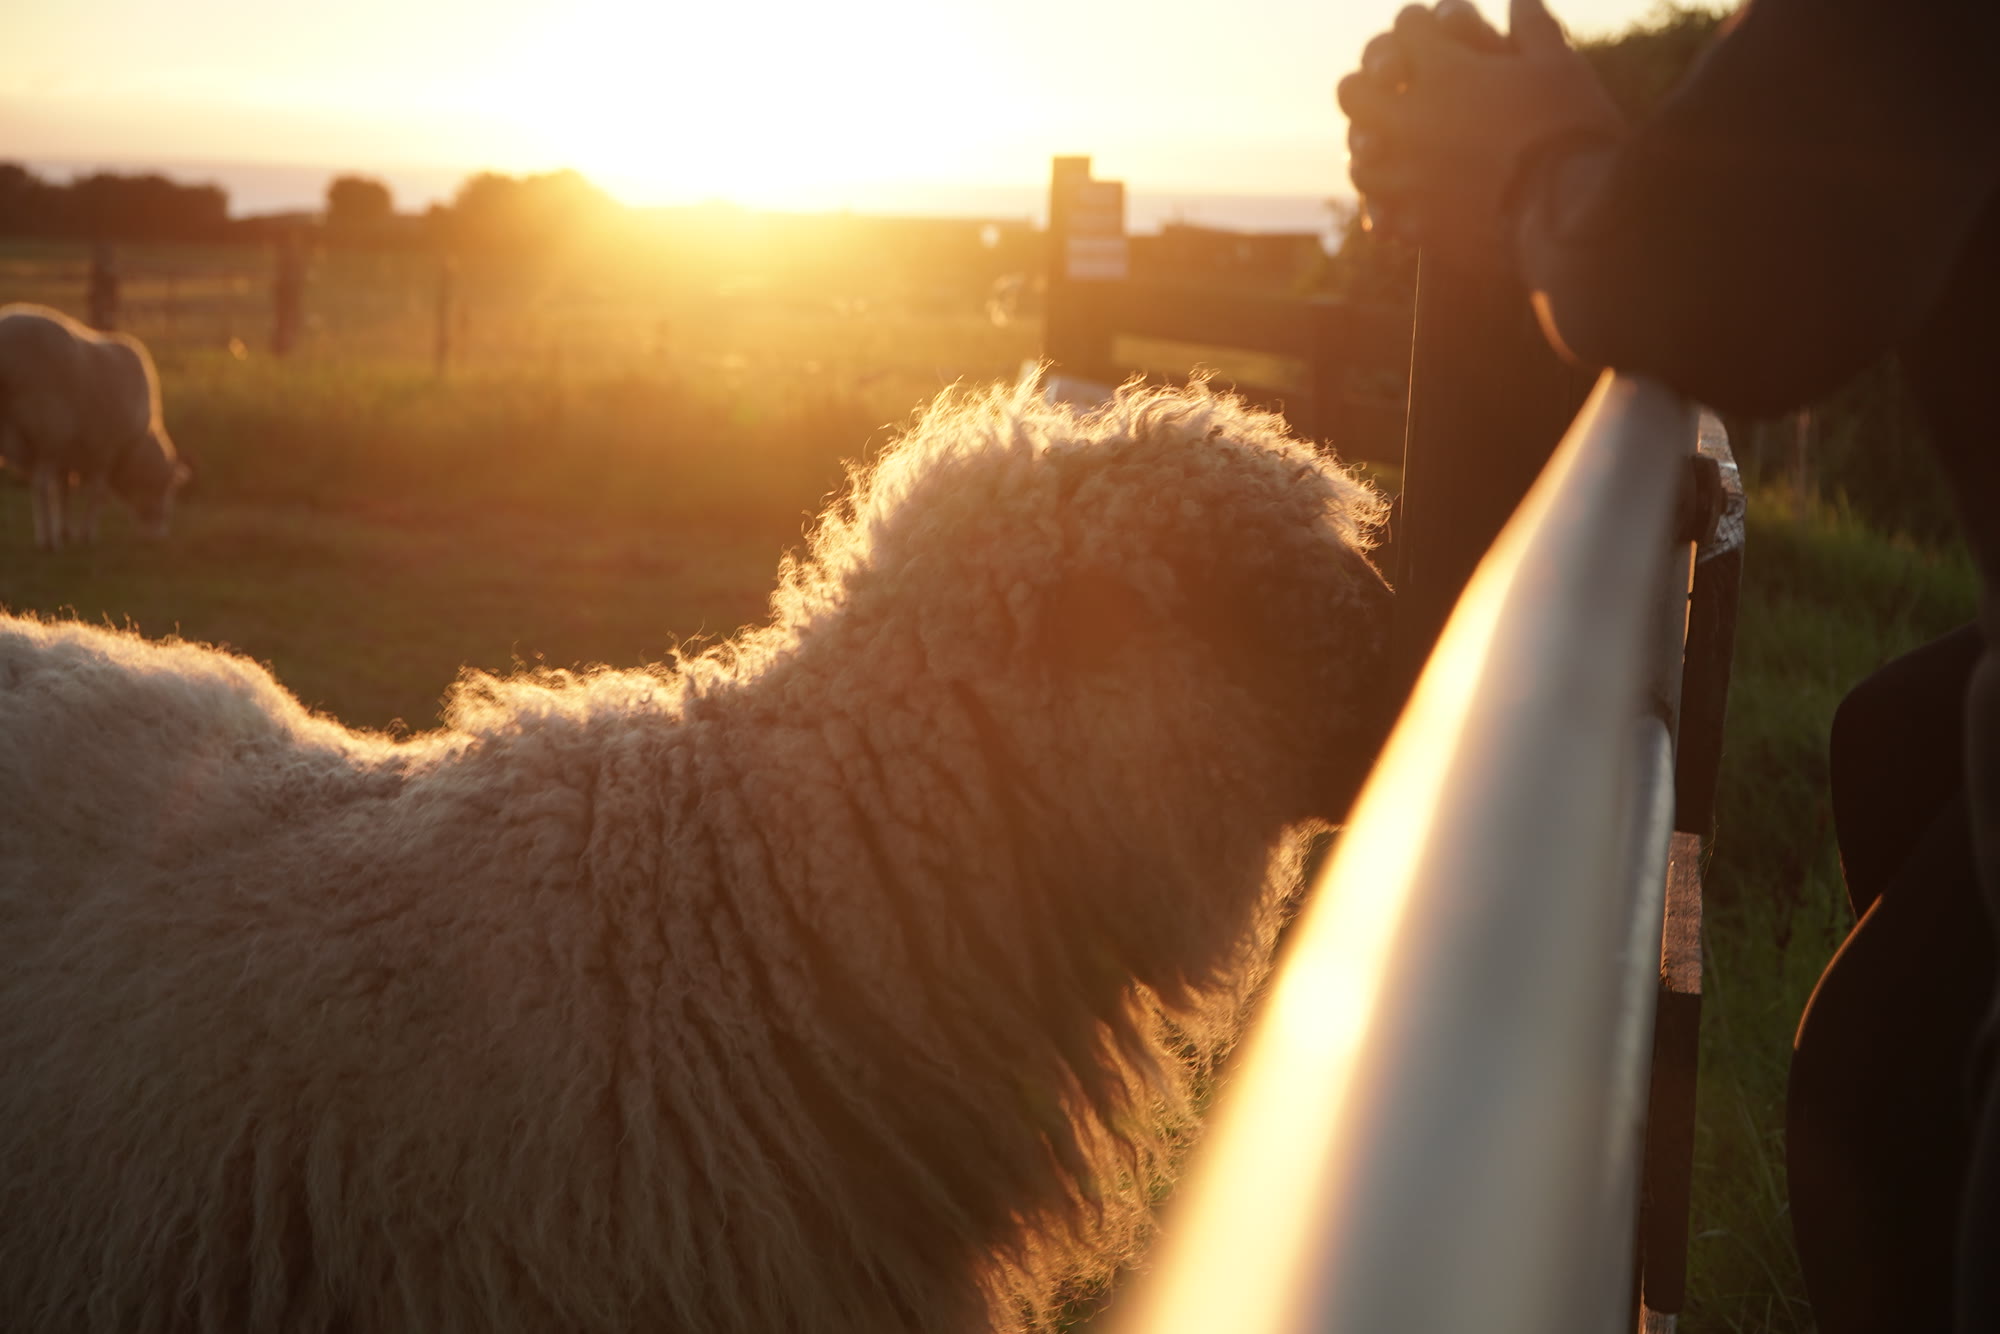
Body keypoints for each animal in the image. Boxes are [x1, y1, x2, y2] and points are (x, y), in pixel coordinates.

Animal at [0, 302, 190, 550]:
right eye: (167, 489)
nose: (158, 536)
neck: (133, 448)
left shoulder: (68, 455)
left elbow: (64, 491)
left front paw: (66, 531)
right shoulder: (104, 450)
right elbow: (97, 494)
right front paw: (86, 535)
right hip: (47, 427)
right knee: (40, 485)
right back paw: (48, 541)